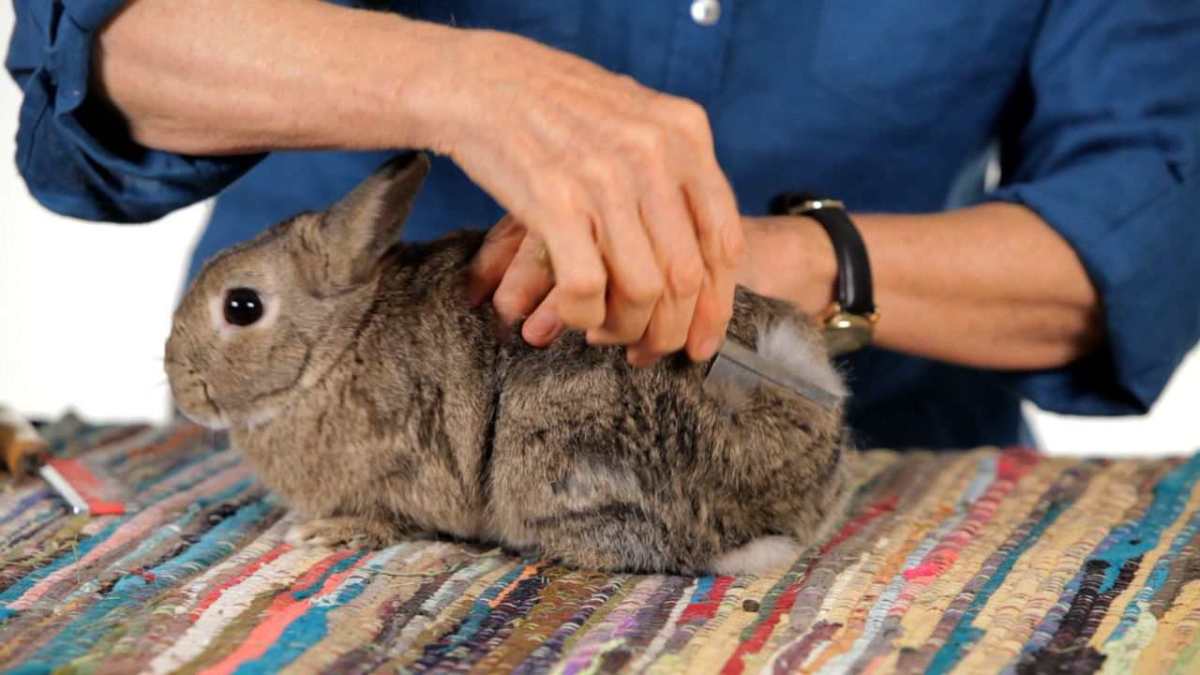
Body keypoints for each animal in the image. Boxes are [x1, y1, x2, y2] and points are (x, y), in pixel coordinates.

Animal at [165, 153, 853, 576]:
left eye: (242, 306)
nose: (181, 389)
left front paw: (327, 533)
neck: (335, 347)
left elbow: (387, 516)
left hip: (550, 453)